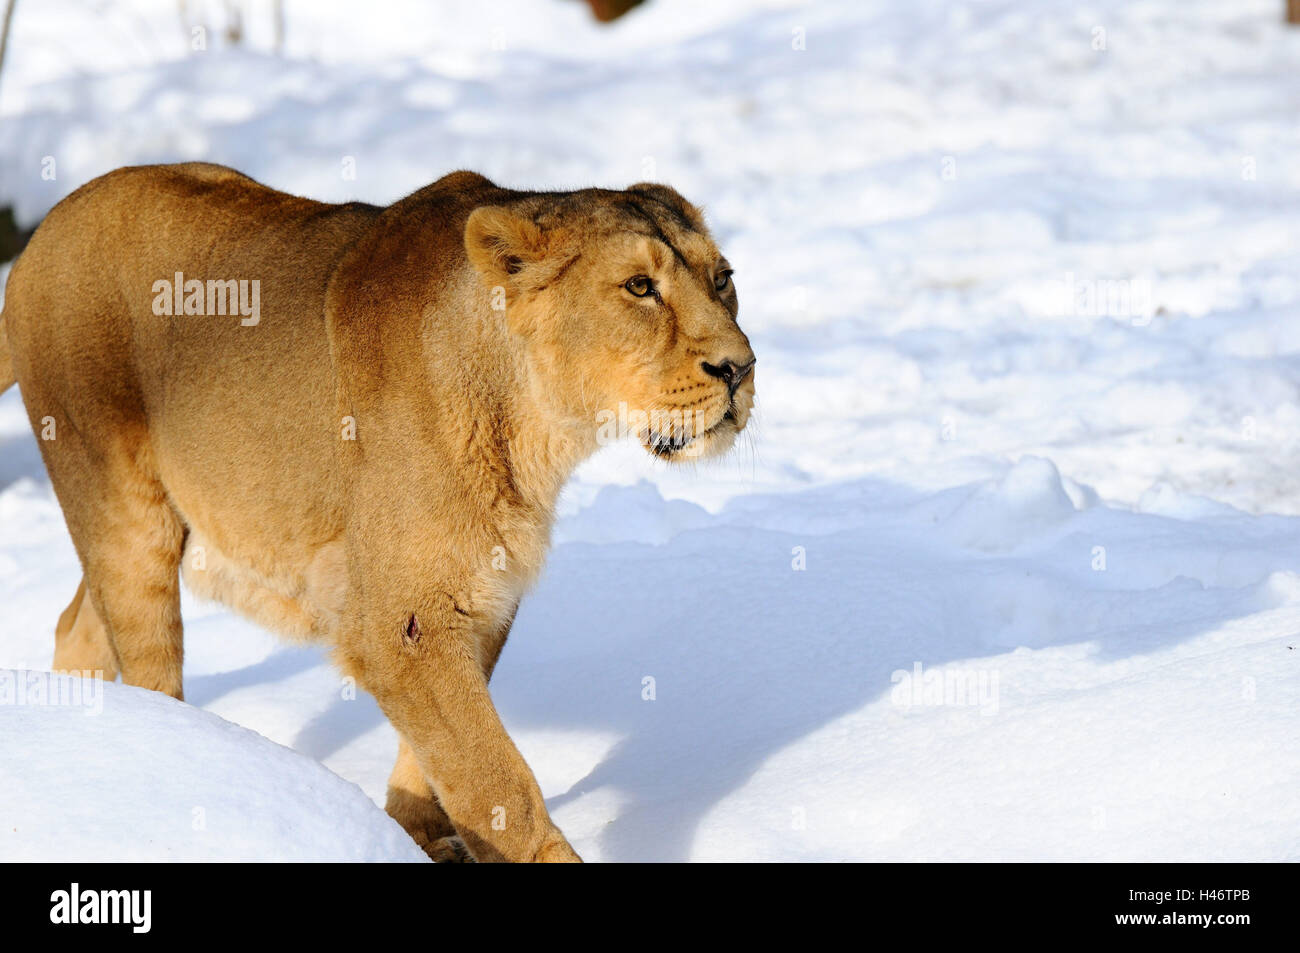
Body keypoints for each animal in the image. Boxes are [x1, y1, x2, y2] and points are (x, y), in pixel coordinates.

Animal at [0, 162, 755, 862]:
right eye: (639, 287)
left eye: (723, 278)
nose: (740, 368)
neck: (537, 429)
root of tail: (45, 230)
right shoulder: (401, 620)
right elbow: (493, 776)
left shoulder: (480, 597)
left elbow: (439, 758)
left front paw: (410, 835)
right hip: (123, 510)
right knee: (148, 664)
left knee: (76, 626)